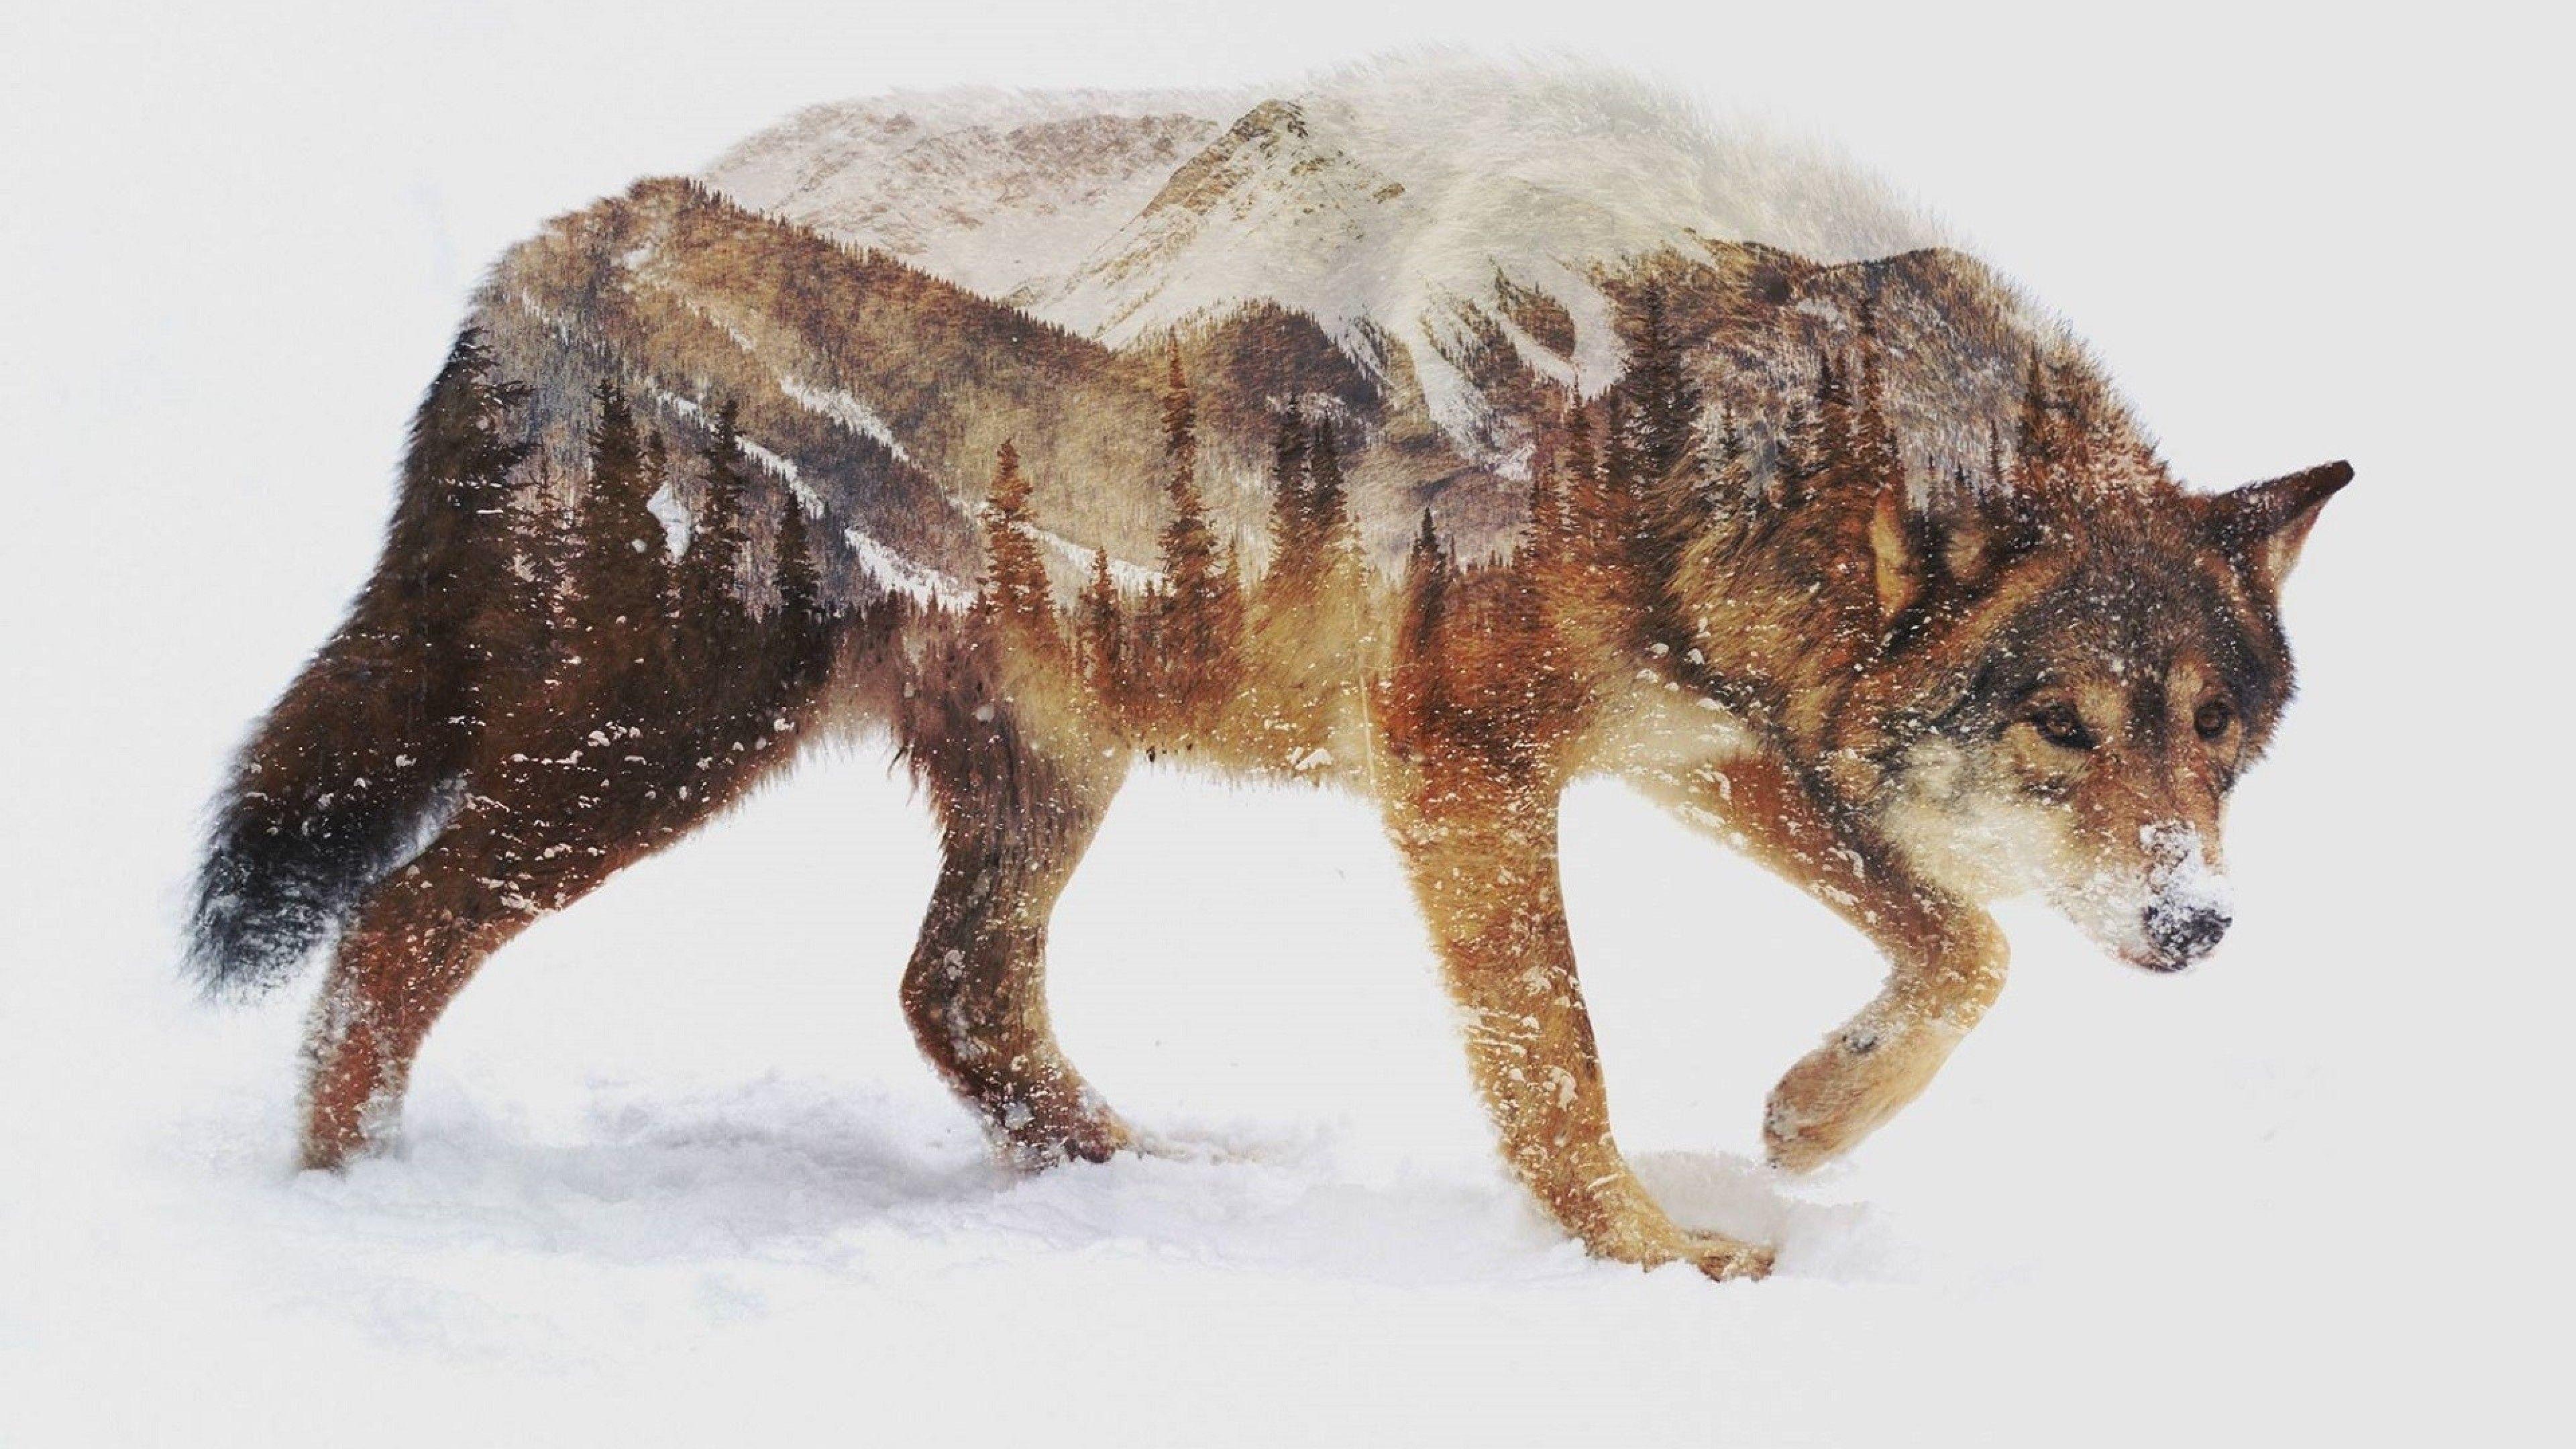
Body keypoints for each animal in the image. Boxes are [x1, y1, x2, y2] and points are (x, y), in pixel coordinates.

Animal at [188, 60, 2348, 1281]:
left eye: (2216, 738)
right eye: (2060, 725)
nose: (2196, 925)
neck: (1678, 394)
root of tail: (546, 253)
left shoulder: (1695, 746)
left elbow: (1959, 948)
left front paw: (1809, 1121)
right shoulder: (1463, 767)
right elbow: (1554, 1059)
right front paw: (1650, 1260)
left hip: (1040, 774)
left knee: (952, 993)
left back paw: (1149, 1185)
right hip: (652, 750)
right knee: (388, 929)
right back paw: (359, 1212)